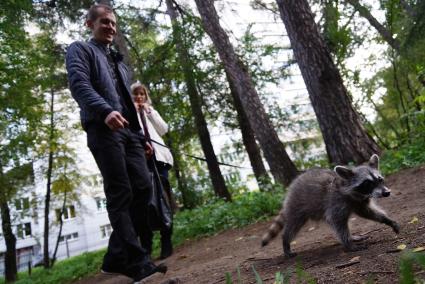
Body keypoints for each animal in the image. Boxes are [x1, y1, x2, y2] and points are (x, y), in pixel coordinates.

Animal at [260, 154, 400, 256]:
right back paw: (286, 241)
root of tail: (290, 188)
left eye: (380, 179)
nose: (387, 193)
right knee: (293, 225)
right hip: (297, 205)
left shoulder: (359, 202)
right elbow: (336, 221)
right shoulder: (336, 202)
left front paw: (387, 220)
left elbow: (368, 212)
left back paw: (352, 236)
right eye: (368, 183)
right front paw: (348, 243)